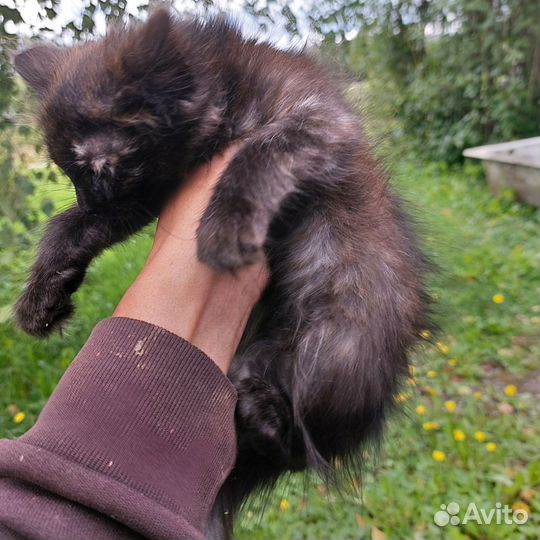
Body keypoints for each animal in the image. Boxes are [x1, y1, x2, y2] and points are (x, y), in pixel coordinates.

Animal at [12, 9, 430, 540]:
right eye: (69, 173)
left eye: (103, 169)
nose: (88, 201)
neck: (227, 85)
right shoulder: (146, 197)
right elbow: (67, 228)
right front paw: (42, 295)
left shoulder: (321, 119)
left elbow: (264, 148)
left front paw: (226, 225)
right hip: (253, 360)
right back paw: (255, 410)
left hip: (339, 343)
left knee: (302, 448)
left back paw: (267, 415)